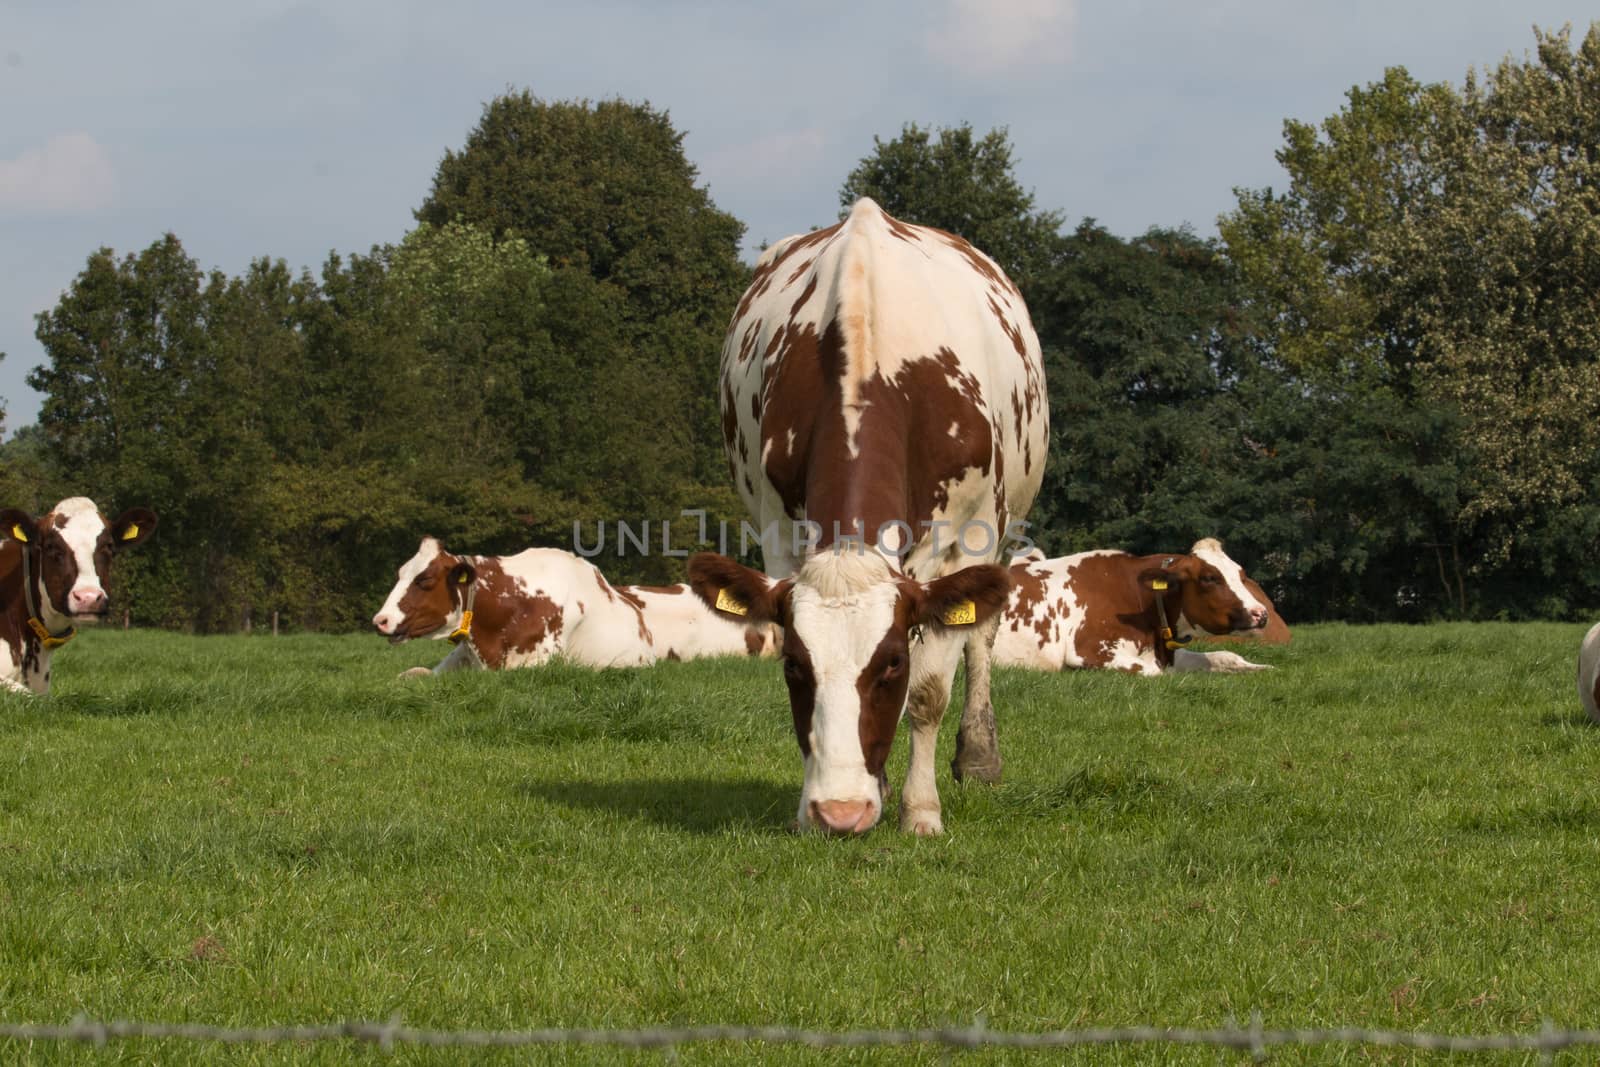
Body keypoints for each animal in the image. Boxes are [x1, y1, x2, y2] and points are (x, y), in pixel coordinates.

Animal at [688, 195, 1049, 838]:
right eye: (794, 667)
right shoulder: (779, 531)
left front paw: (921, 810)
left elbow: (929, 692)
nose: (839, 812)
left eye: (891, 665)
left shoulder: (963, 541)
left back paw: (979, 756)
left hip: (1004, 527)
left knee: (981, 634)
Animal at [998, 534, 1273, 675]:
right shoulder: (1089, 650)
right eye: (1209, 578)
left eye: (1240, 573)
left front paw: (1261, 667)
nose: (1261, 614)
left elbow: (1225, 656)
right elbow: (1154, 671)